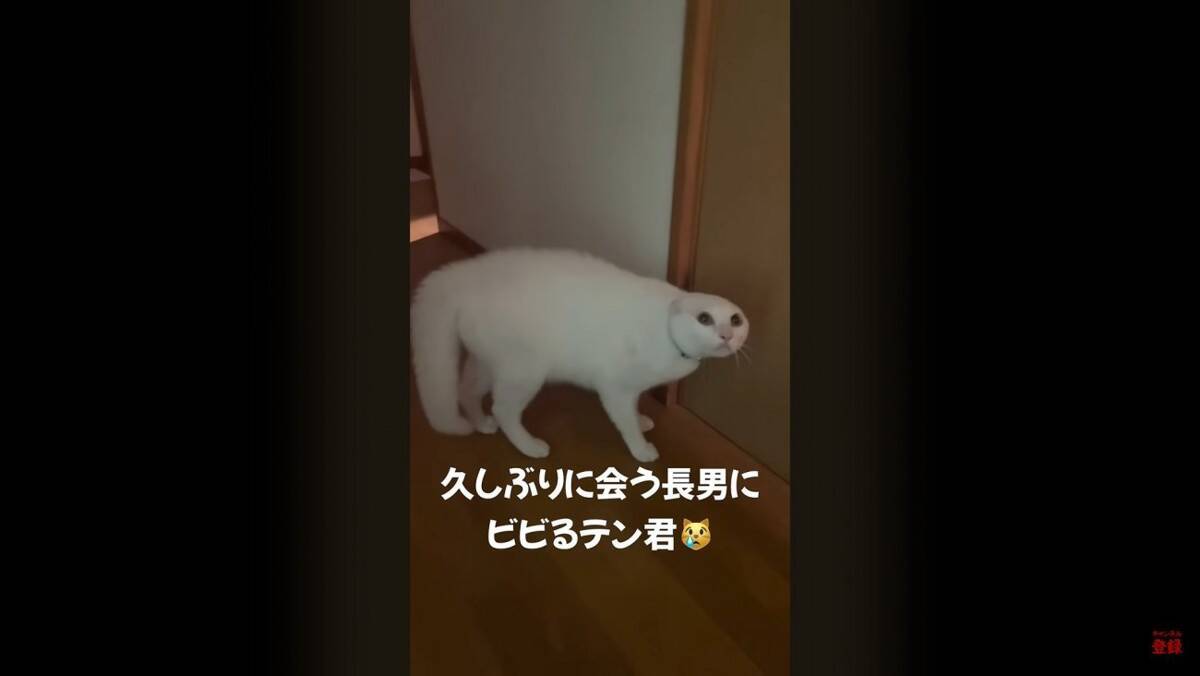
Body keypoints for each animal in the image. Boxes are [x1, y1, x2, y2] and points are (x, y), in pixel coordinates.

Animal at [411, 247, 749, 462]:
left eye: (736, 320)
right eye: (704, 318)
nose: (726, 335)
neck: (665, 330)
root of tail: (460, 274)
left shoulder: (633, 387)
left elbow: (635, 410)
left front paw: (641, 421)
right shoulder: (615, 389)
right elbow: (625, 422)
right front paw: (641, 449)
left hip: (488, 364)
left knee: (466, 390)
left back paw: (481, 423)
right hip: (523, 371)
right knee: (503, 410)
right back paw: (530, 447)